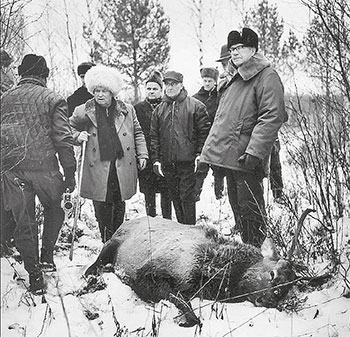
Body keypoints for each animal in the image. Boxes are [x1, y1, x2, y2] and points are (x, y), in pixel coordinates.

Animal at [85, 213, 312, 326]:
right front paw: (187, 320)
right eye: (272, 273)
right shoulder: (146, 273)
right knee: (93, 265)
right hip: (112, 243)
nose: (270, 301)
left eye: (288, 289)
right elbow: (185, 307)